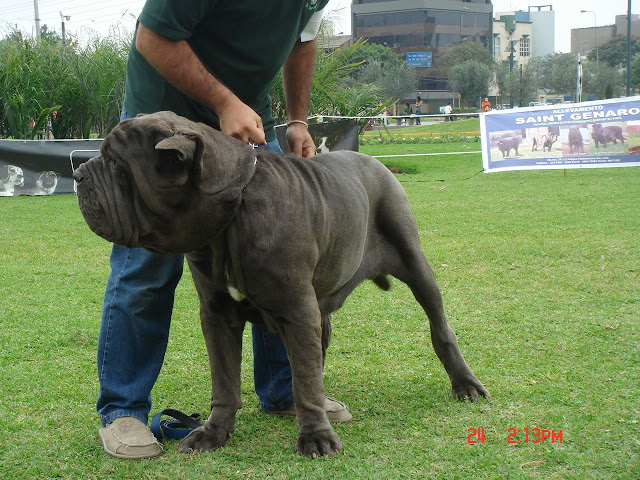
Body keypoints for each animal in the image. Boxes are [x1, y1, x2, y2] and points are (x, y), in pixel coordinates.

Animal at [72, 110, 488, 460]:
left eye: (116, 164)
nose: (78, 174)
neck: (232, 217)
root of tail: (377, 164)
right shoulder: (217, 315)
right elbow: (225, 383)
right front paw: (213, 432)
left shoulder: (296, 310)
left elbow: (303, 378)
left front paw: (315, 436)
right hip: (321, 307)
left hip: (415, 263)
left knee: (439, 325)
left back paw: (466, 384)